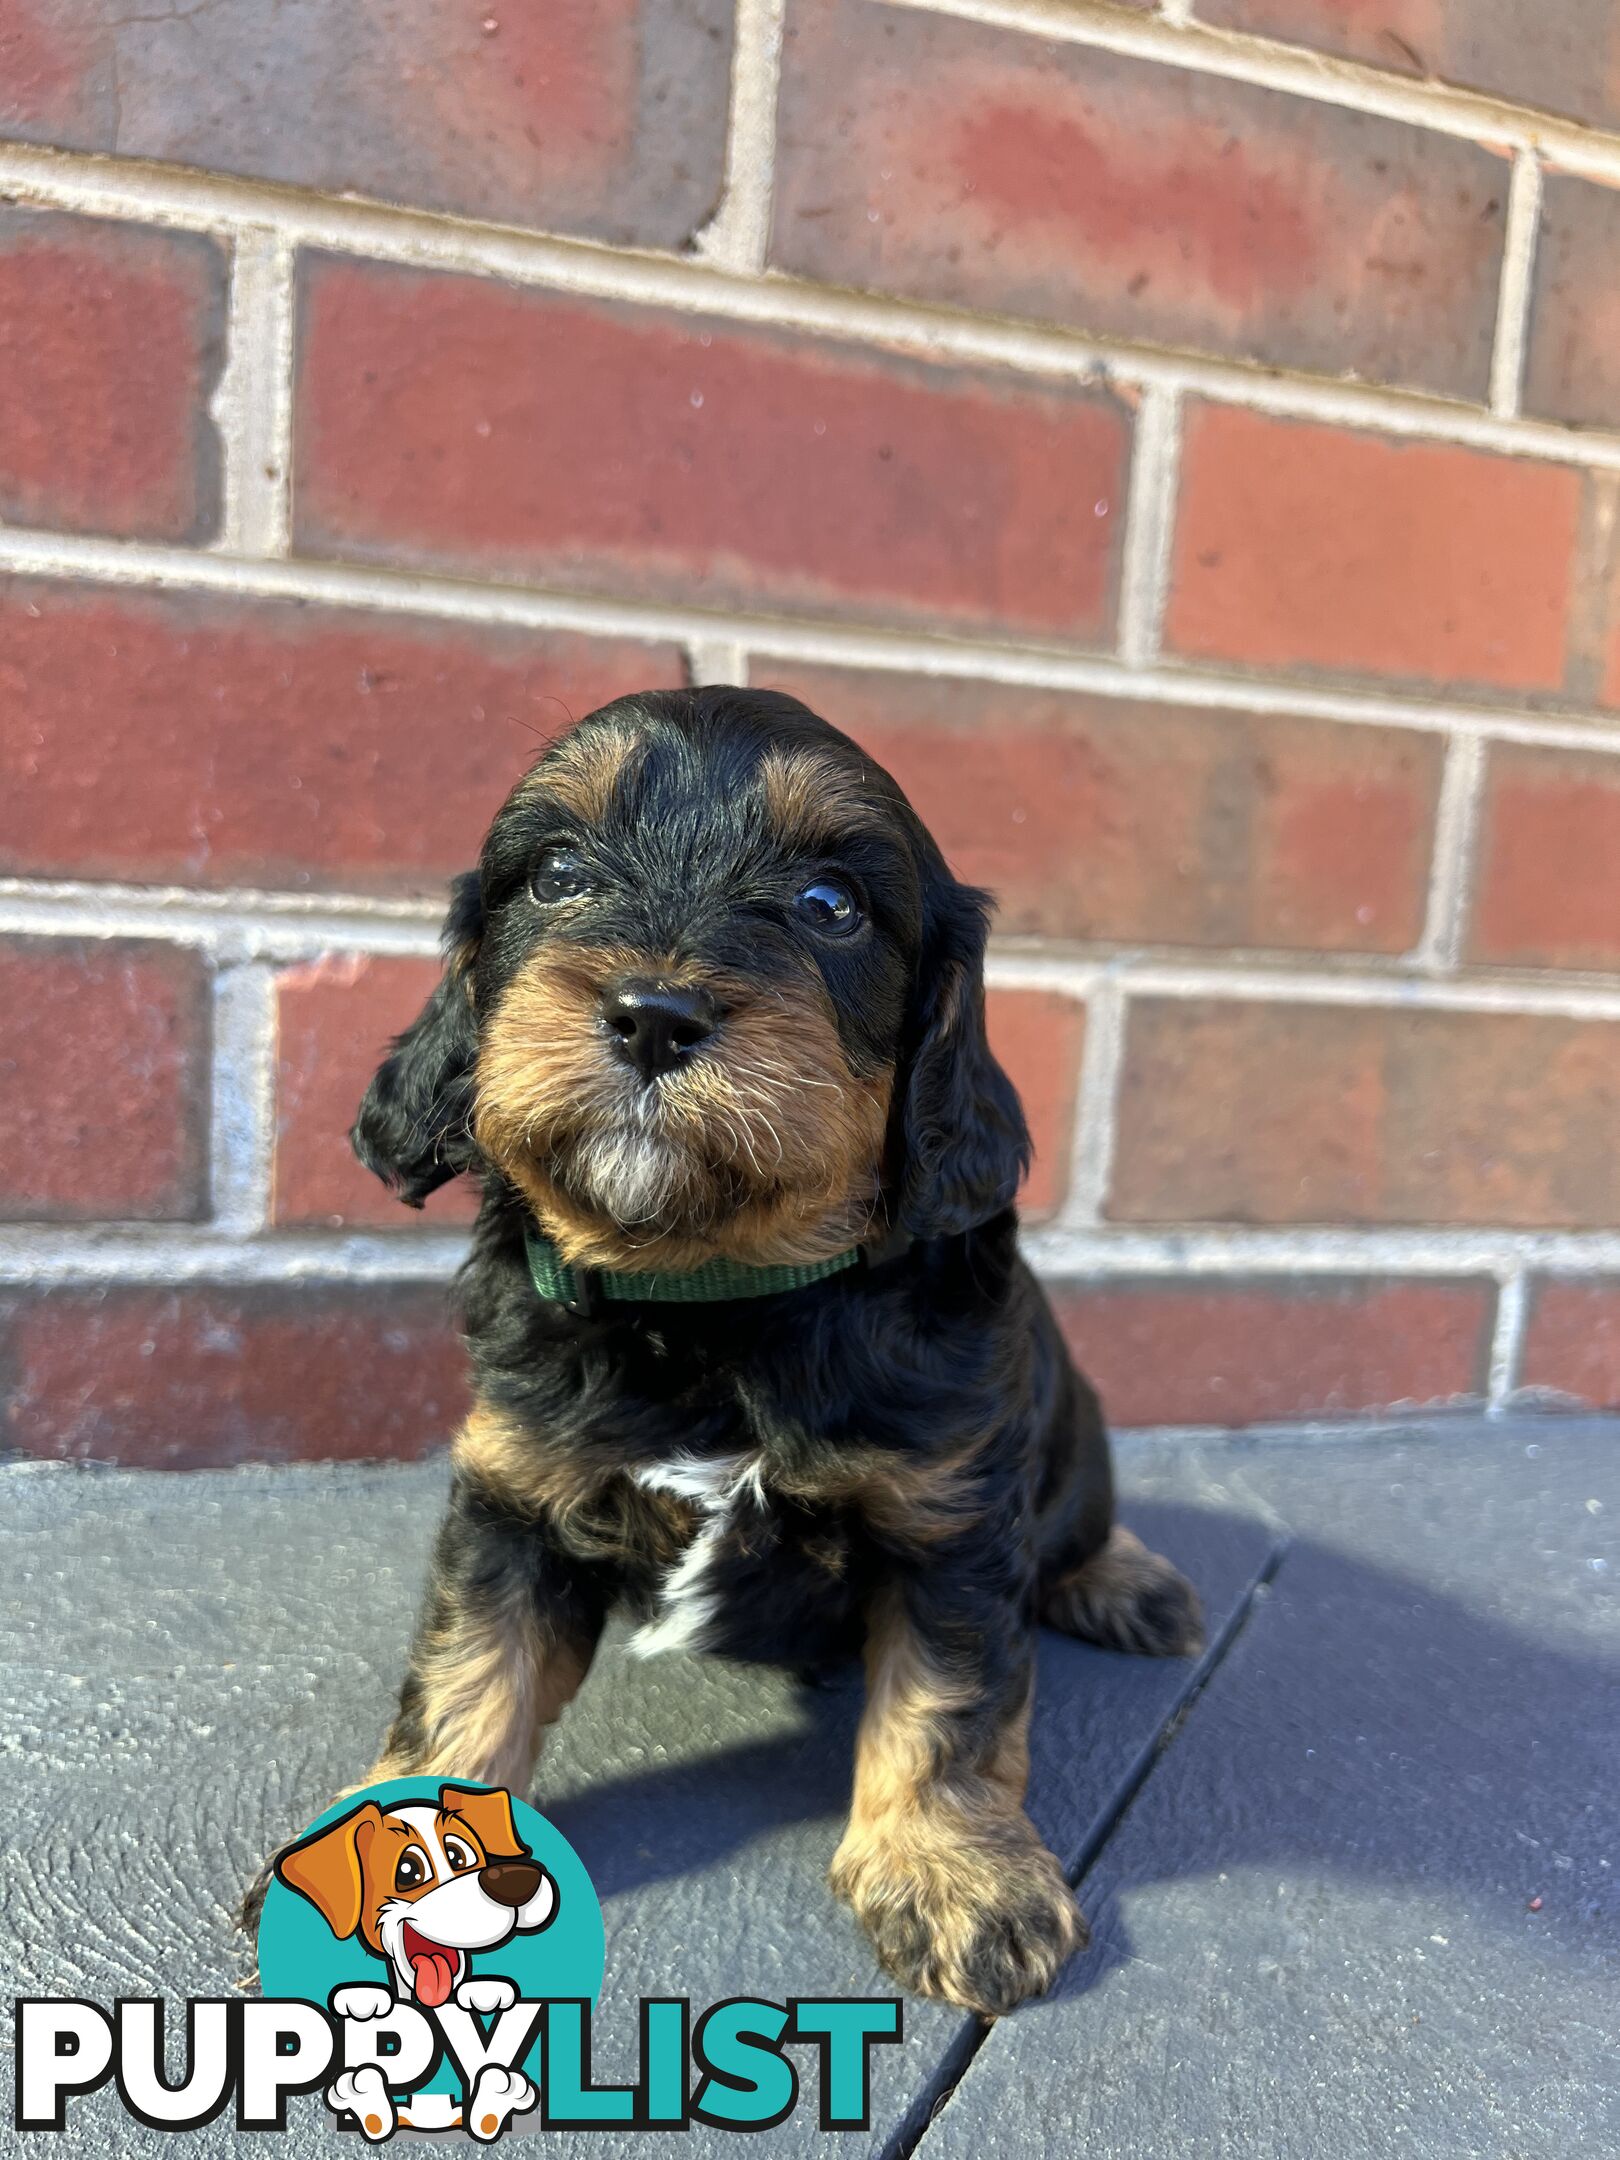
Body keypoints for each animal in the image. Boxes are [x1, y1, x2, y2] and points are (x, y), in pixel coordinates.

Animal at [343, 682, 1209, 2013]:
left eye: (829, 905)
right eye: (554, 875)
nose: (654, 1018)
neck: (712, 1299)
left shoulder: (950, 1520)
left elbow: (951, 1703)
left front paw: (956, 1874)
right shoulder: (512, 1496)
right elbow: (465, 1669)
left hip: (1075, 1442)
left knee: (1077, 1526)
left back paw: (1126, 1579)